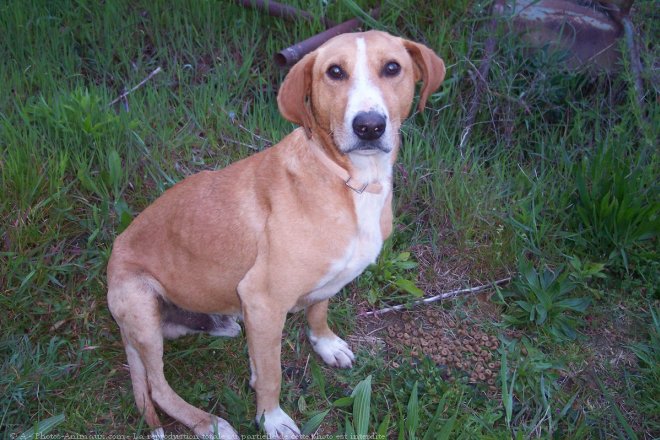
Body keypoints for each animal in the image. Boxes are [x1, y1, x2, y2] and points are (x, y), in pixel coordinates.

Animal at [108, 29, 446, 438]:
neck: (351, 181)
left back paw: (218, 324)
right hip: (140, 304)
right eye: (335, 72)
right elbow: (272, 374)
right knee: (156, 386)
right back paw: (209, 423)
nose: (369, 126)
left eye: (392, 68)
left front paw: (325, 344)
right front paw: (271, 418)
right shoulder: (263, 300)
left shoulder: (310, 289)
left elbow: (317, 312)